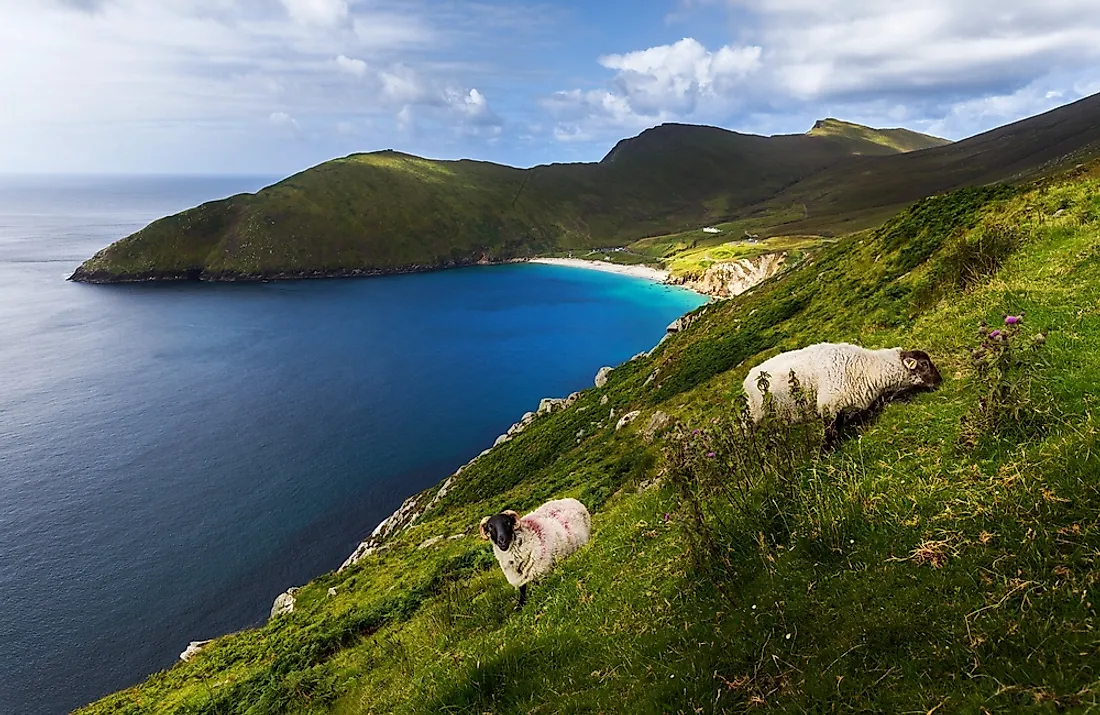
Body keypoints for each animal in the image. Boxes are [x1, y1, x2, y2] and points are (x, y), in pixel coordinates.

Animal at [748, 343, 946, 437]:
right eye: (924, 364)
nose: (940, 381)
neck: (867, 367)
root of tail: (748, 378)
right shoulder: (828, 405)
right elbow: (830, 434)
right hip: (754, 418)